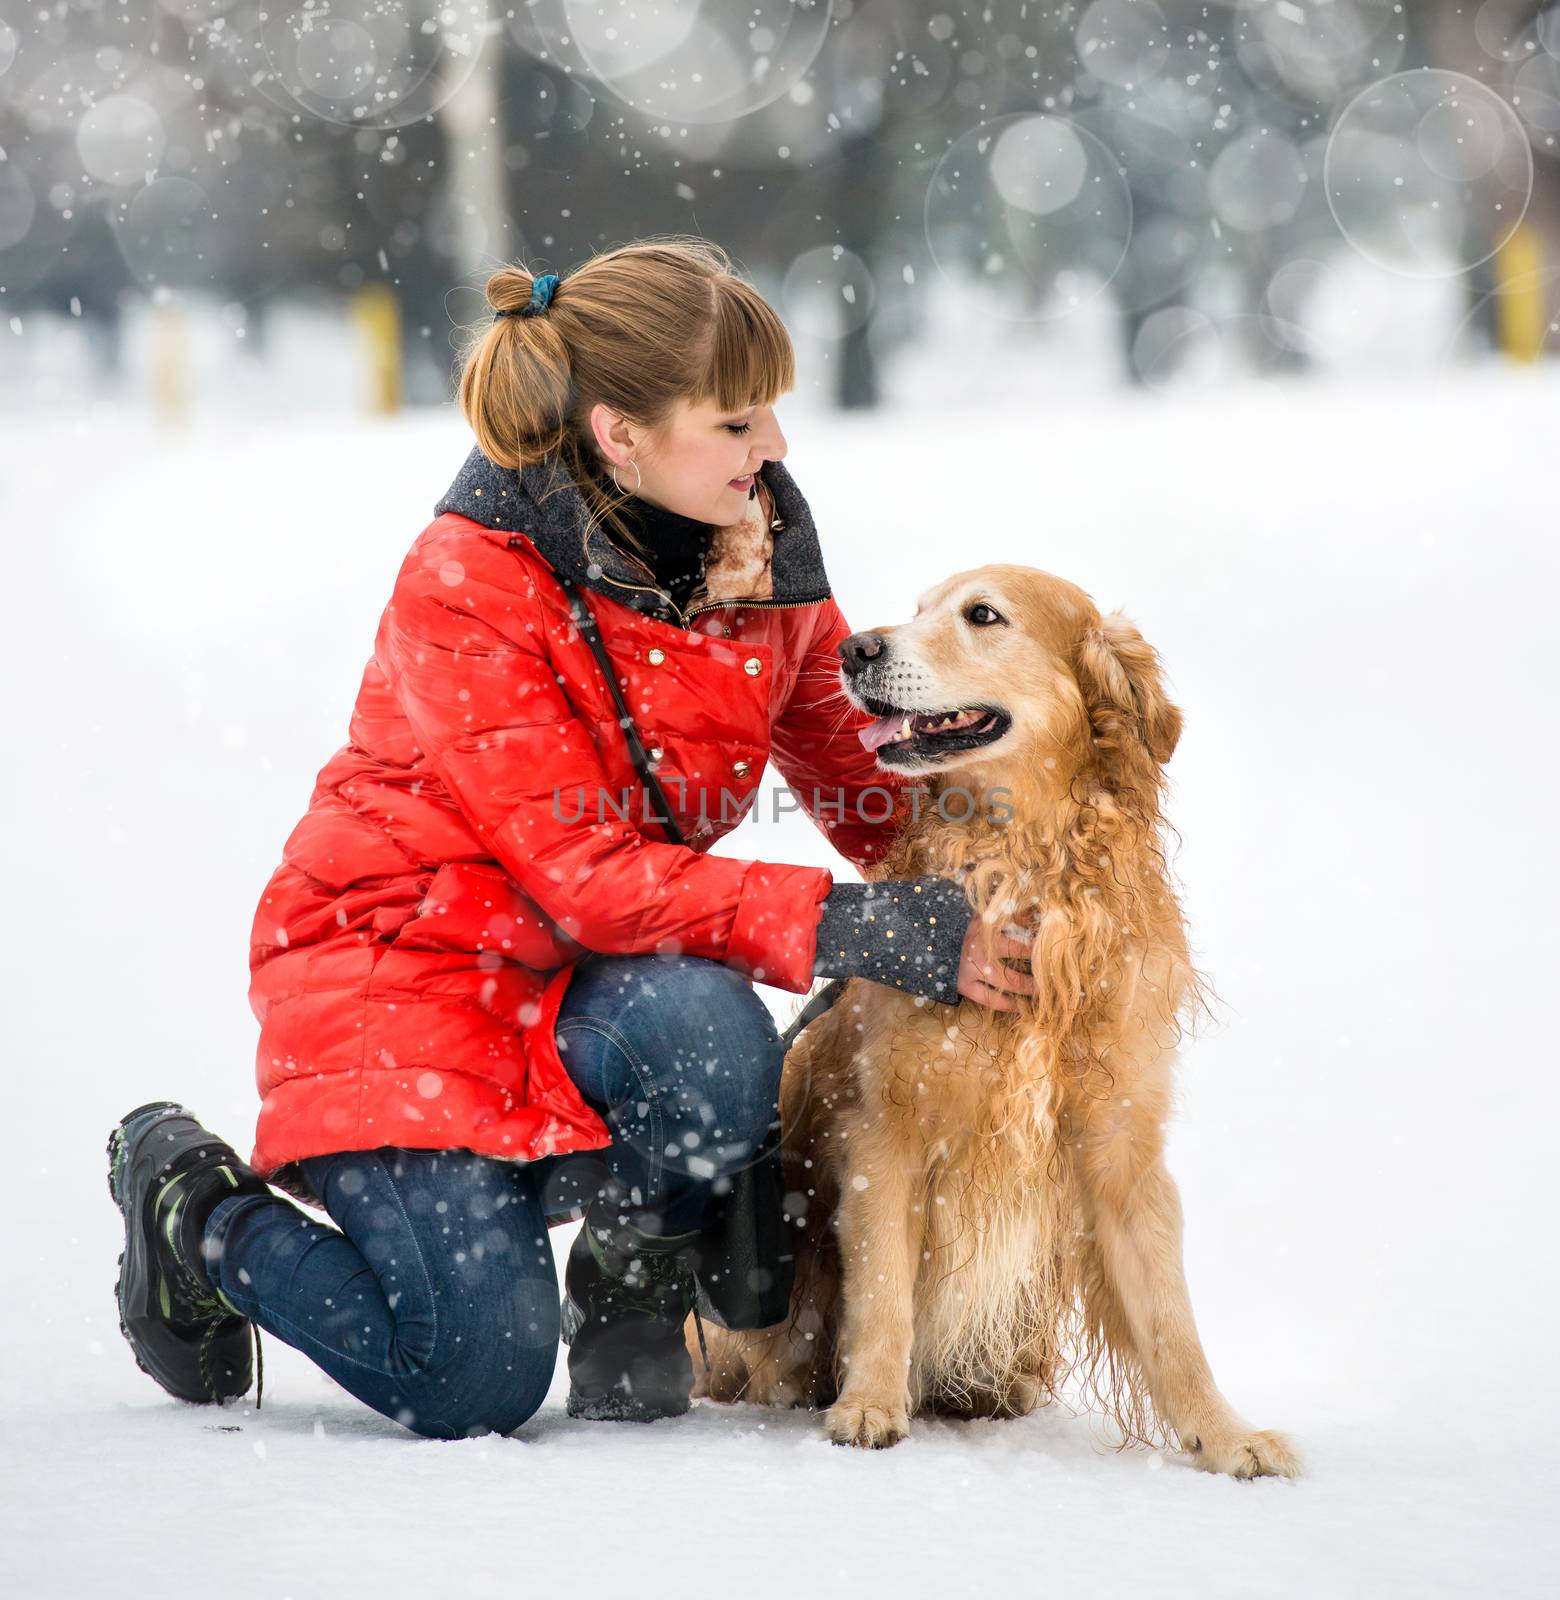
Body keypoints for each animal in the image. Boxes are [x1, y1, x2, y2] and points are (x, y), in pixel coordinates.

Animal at [688, 569, 1299, 1478]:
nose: (853, 648)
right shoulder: (885, 1131)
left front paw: (1224, 1435)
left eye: (983, 615)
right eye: (916, 609)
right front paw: (870, 1403)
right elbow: (883, 1289)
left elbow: (1170, 1320)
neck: (1027, 870)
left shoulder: (1122, 1145)